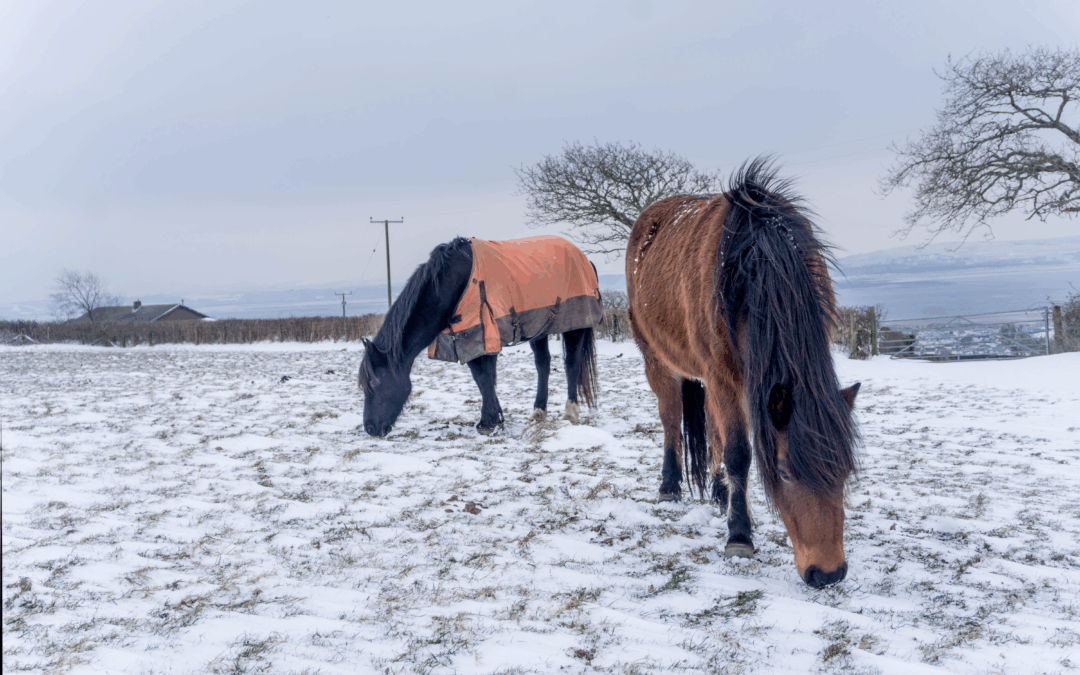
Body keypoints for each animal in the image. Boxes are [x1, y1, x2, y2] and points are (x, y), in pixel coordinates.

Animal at [359, 235, 603, 437]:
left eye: (375, 382)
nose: (370, 428)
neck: (455, 283)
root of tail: (584, 257)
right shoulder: (467, 338)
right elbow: (481, 378)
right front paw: (495, 418)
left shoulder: (485, 334)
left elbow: (486, 377)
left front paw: (488, 422)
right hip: (539, 327)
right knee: (543, 364)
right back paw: (538, 413)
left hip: (575, 323)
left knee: (572, 364)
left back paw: (571, 413)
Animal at [625, 159, 860, 588]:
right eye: (784, 473)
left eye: (845, 470)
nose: (828, 573)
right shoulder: (722, 377)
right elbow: (739, 452)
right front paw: (739, 537)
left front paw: (732, 505)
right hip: (658, 360)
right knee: (671, 419)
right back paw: (670, 486)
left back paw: (721, 494)